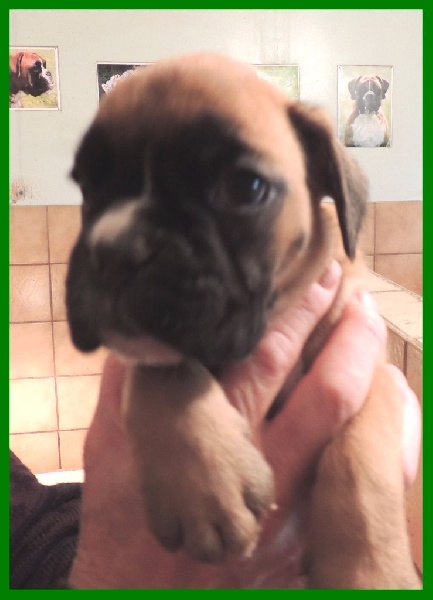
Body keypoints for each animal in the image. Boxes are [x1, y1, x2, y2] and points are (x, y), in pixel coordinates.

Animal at [66, 53, 419, 588]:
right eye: (87, 187)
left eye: (245, 188)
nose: (113, 250)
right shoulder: (147, 347)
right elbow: (161, 372)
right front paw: (202, 481)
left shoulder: (374, 373)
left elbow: (361, 458)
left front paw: (369, 570)